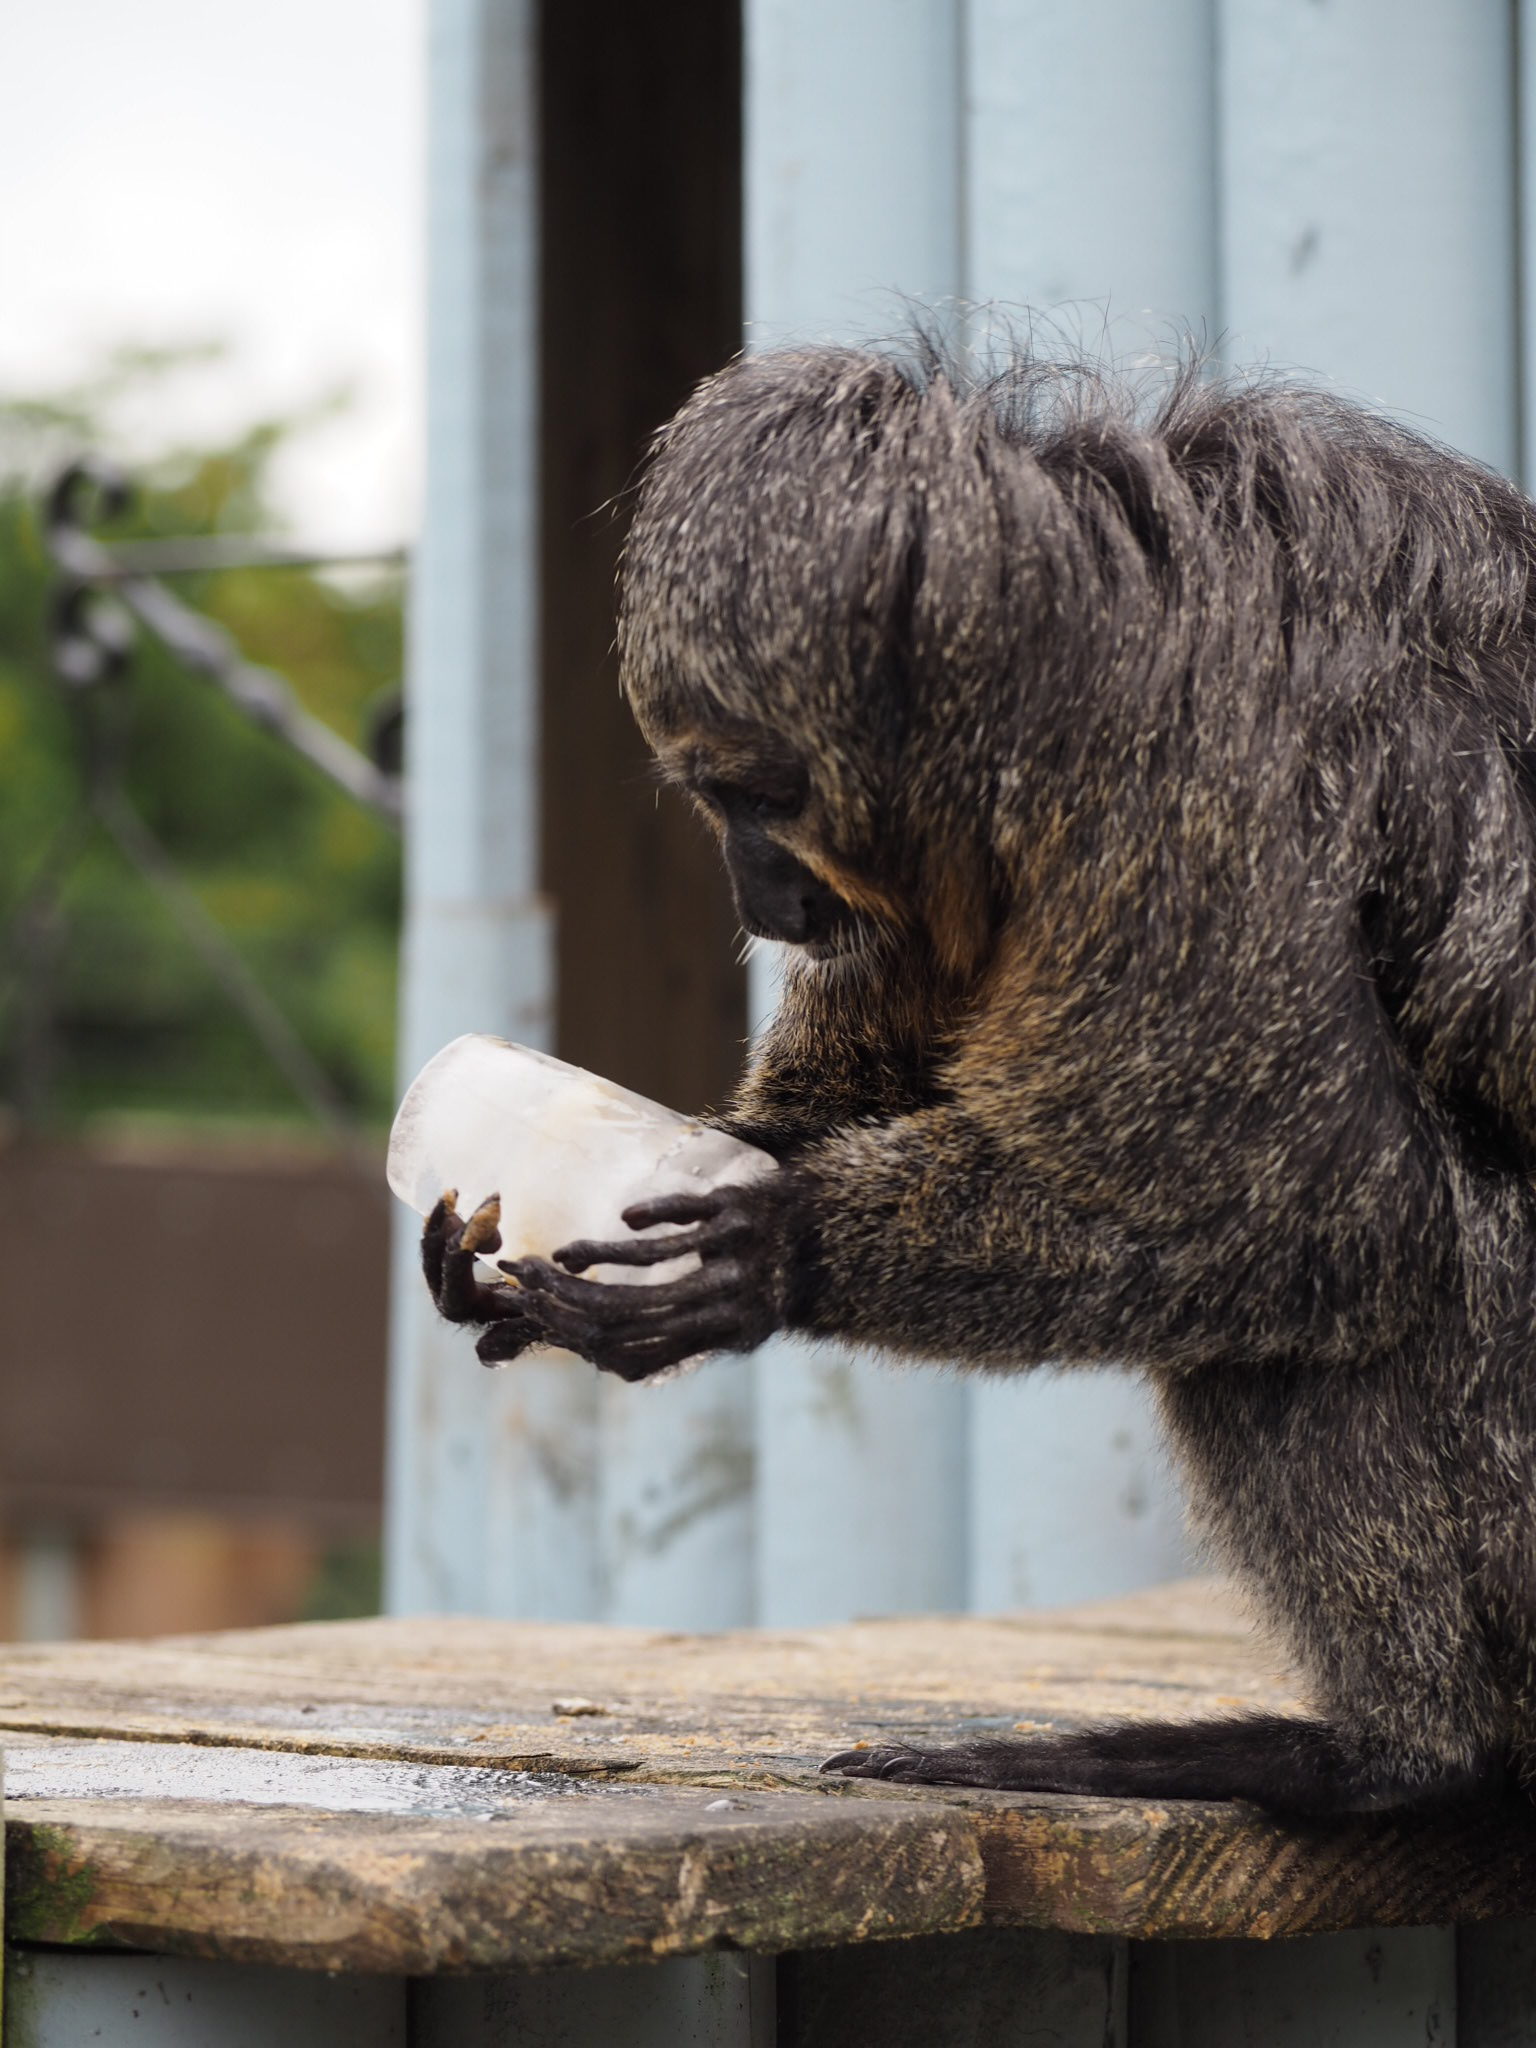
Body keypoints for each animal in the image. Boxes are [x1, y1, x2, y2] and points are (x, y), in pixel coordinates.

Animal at [421, 339, 1536, 1826]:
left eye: (761, 796)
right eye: (717, 803)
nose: (757, 895)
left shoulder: (1193, 795)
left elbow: (1340, 1220)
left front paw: (781, 1251)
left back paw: (1400, 1758)